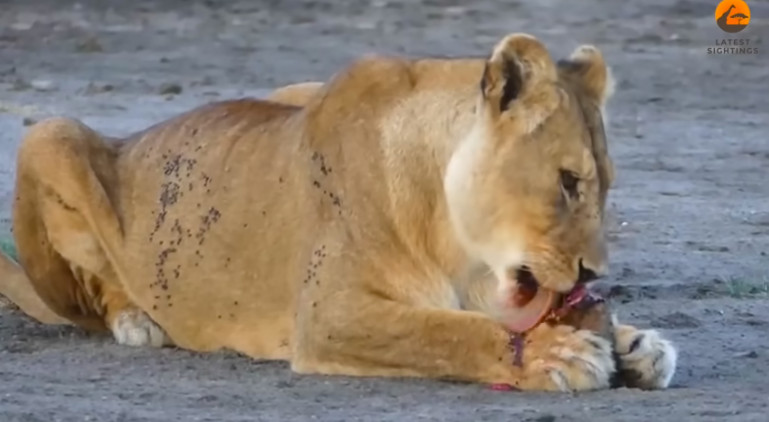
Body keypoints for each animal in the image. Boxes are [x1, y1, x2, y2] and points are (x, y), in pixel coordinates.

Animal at [0, 33, 676, 391]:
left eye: (605, 186)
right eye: (568, 182)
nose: (594, 274)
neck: (463, 251)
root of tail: (133, 137)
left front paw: (636, 342)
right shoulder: (331, 314)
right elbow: (444, 332)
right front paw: (555, 356)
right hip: (50, 135)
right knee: (94, 298)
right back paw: (137, 319)